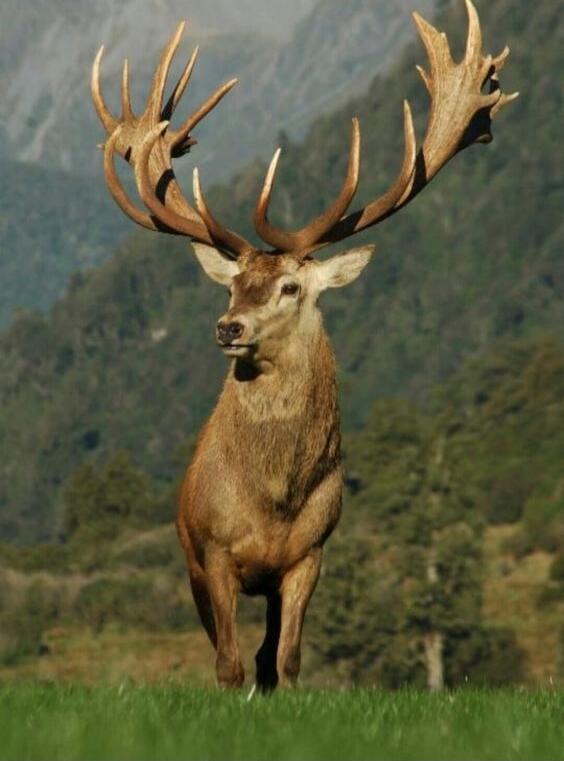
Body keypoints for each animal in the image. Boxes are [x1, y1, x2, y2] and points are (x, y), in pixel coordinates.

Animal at [91, 0, 517, 690]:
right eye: (234, 283)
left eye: (290, 286)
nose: (228, 327)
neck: (276, 501)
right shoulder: (212, 554)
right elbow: (229, 663)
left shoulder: (311, 554)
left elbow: (285, 661)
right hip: (190, 563)